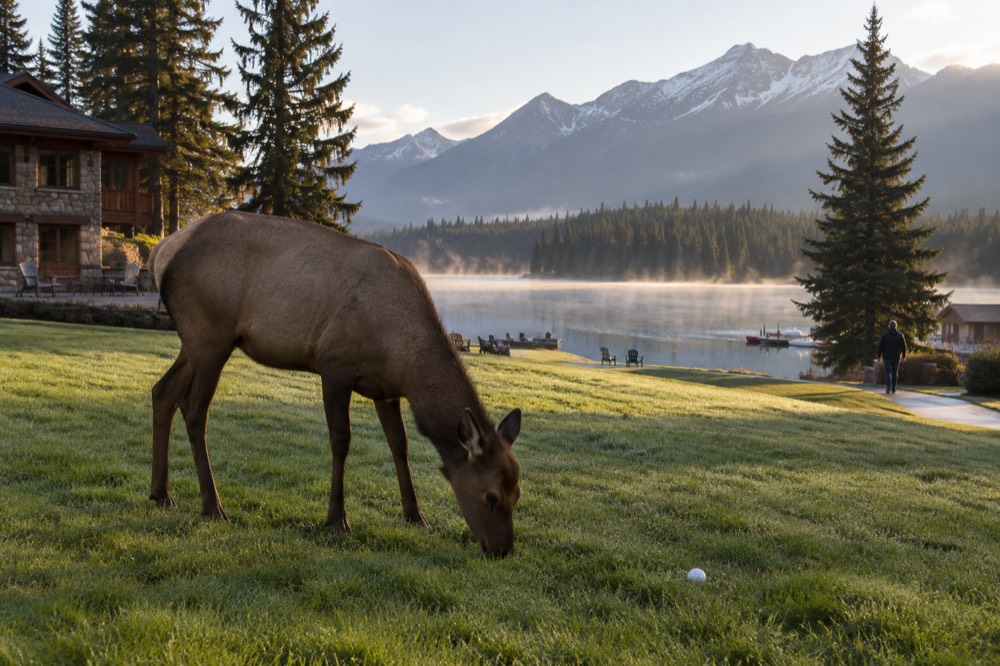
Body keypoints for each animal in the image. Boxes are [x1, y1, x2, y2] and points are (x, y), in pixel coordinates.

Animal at [148, 211, 522, 556]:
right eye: (491, 495)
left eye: (517, 493)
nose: (503, 549)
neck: (403, 359)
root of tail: (164, 250)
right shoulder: (334, 366)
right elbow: (341, 441)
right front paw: (337, 519)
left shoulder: (386, 391)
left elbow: (399, 445)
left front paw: (415, 515)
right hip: (211, 333)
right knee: (194, 409)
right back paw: (212, 506)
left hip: (195, 342)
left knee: (162, 392)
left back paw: (161, 493)